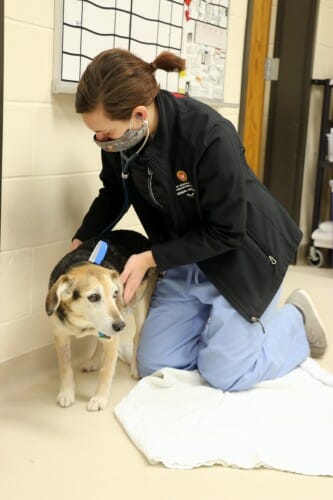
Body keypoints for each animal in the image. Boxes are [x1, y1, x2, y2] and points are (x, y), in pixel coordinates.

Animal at [45, 230, 157, 410]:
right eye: (93, 297)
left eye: (115, 294)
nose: (121, 326)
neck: (82, 322)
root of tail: (140, 236)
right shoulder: (61, 336)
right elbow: (65, 367)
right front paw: (67, 393)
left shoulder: (113, 338)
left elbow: (106, 371)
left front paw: (99, 399)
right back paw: (93, 361)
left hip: (141, 304)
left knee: (137, 337)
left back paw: (135, 367)